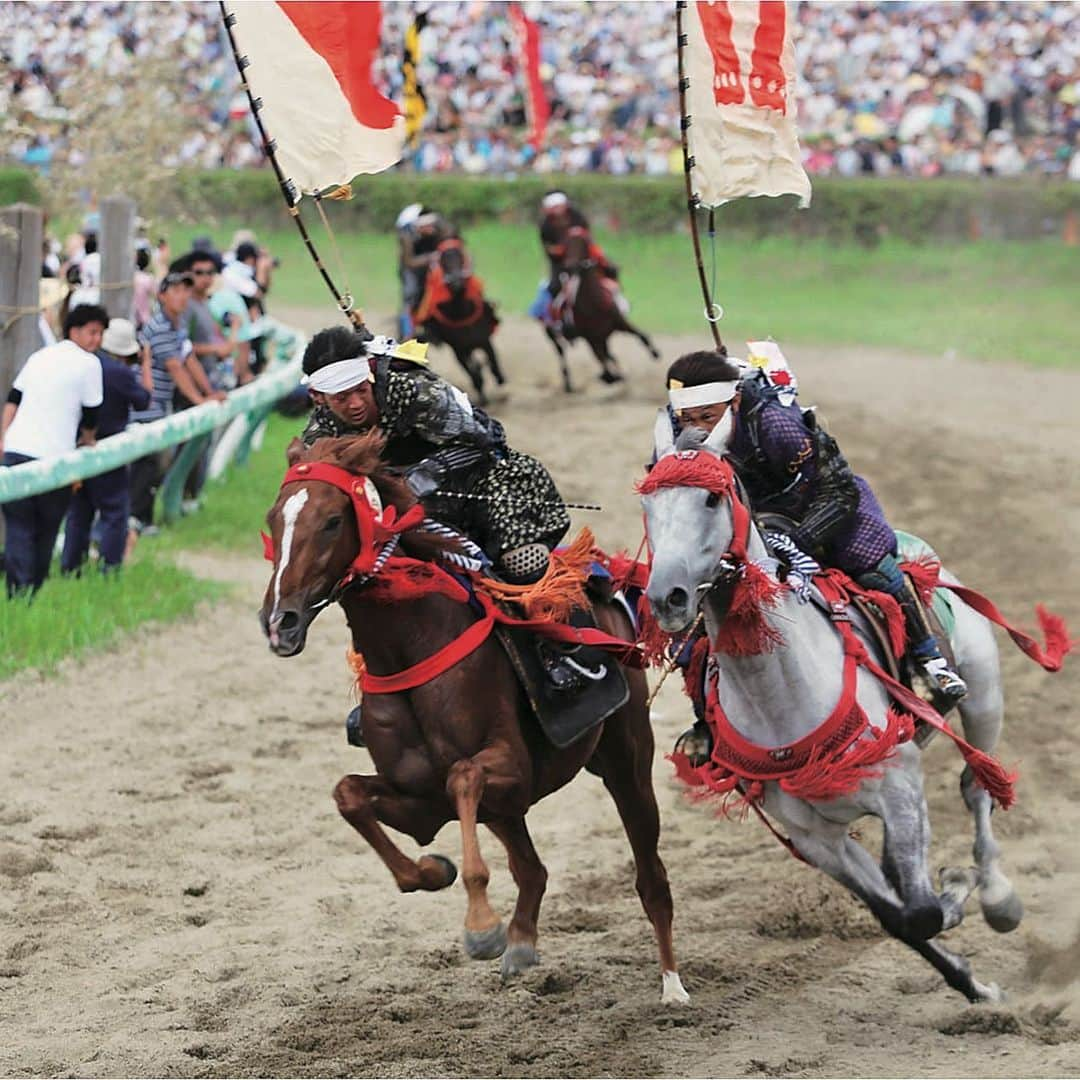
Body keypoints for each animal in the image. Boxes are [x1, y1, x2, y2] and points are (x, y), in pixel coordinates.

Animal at [257, 432, 686, 1002]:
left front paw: (482, 927)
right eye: (273, 518)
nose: (279, 621)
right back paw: (522, 941)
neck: (411, 649)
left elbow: (462, 776)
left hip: (625, 755)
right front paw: (430, 870)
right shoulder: (419, 799)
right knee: (533, 869)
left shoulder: (509, 769)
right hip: (511, 809)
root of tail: (603, 583)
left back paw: (672, 986)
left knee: (651, 879)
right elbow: (349, 795)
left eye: (330, 521)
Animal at [412, 239, 505, 406]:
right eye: (443, 261)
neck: (461, 314)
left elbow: (493, 361)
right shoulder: (459, 350)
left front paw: (500, 378)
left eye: (460, 257)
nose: (456, 280)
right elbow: (474, 374)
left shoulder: (484, 341)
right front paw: (482, 397)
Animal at [537, 226, 656, 393]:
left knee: (609, 355)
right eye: (567, 245)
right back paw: (568, 384)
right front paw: (610, 376)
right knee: (561, 354)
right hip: (551, 333)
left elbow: (642, 336)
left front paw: (655, 353)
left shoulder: (618, 324)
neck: (594, 304)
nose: (570, 264)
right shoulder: (591, 338)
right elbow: (606, 369)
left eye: (584, 244)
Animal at [643, 408, 1023, 997]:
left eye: (710, 498)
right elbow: (900, 917)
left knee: (978, 784)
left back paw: (998, 898)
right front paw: (971, 982)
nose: (668, 598)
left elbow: (923, 910)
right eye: (649, 504)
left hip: (984, 696)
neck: (784, 697)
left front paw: (957, 889)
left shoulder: (899, 786)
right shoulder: (814, 836)